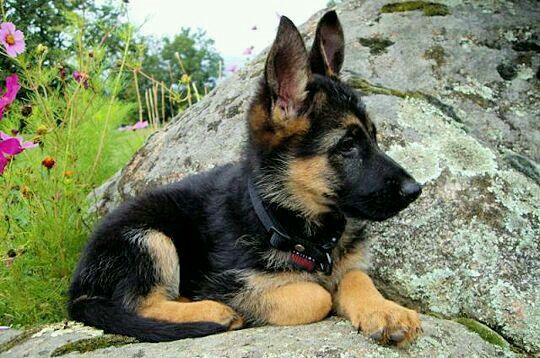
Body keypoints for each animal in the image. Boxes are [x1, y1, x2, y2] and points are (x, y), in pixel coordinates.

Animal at [68, 11, 422, 346]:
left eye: (374, 137)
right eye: (347, 145)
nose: (415, 190)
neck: (296, 227)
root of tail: (77, 289)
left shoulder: (348, 264)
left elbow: (356, 278)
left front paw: (386, 312)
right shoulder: (228, 281)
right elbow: (316, 295)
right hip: (148, 237)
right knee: (138, 303)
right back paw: (211, 311)